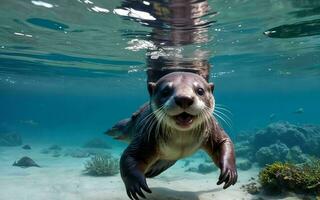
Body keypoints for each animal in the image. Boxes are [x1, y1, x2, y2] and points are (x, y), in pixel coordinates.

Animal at [106, 72, 236, 200]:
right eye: (165, 91)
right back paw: (111, 132)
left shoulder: (212, 127)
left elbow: (224, 142)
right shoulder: (145, 135)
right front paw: (135, 184)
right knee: (123, 127)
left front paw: (230, 171)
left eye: (200, 90)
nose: (184, 98)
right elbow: (129, 156)